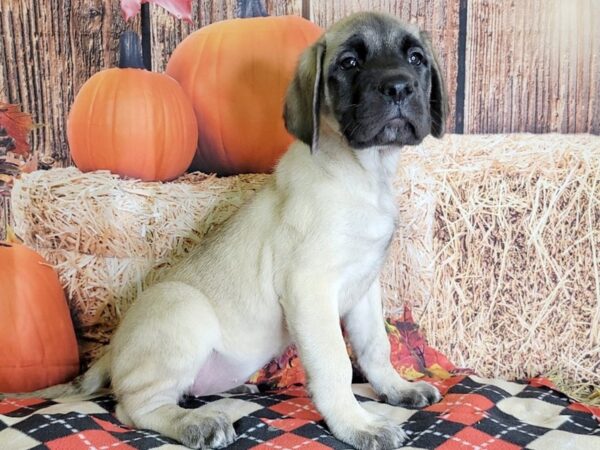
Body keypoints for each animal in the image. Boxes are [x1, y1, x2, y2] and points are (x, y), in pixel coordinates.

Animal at [12, 10, 446, 450]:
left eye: (415, 58)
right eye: (349, 63)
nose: (398, 87)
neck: (364, 173)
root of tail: (111, 349)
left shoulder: (364, 288)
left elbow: (376, 346)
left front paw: (396, 389)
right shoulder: (310, 288)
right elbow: (335, 363)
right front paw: (356, 423)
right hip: (184, 310)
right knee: (134, 406)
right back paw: (197, 423)